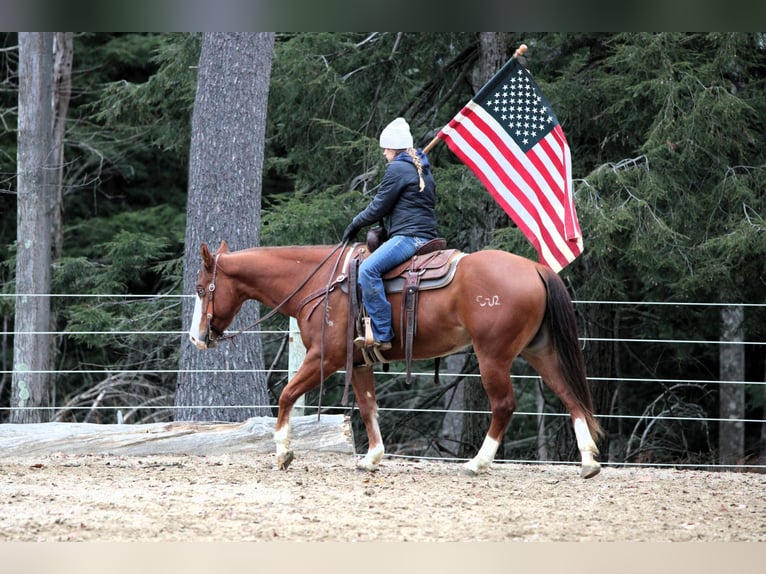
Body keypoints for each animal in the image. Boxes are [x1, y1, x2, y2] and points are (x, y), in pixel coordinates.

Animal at [188, 240, 603, 479]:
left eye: (200, 288)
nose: (197, 338)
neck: (321, 282)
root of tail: (535, 267)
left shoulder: (325, 357)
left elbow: (287, 395)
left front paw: (284, 452)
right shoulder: (358, 362)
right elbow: (368, 407)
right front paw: (372, 458)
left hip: (493, 356)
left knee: (503, 405)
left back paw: (477, 463)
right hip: (540, 351)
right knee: (571, 397)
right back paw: (588, 462)